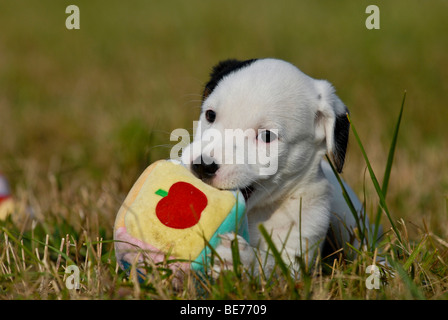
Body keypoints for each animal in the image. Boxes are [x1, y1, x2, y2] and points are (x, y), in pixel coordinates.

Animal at [180, 58, 372, 276]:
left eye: (266, 136)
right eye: (210, 115)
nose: (202, 165)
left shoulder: (299, 253)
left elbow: (276, 267)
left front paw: (240, 258)